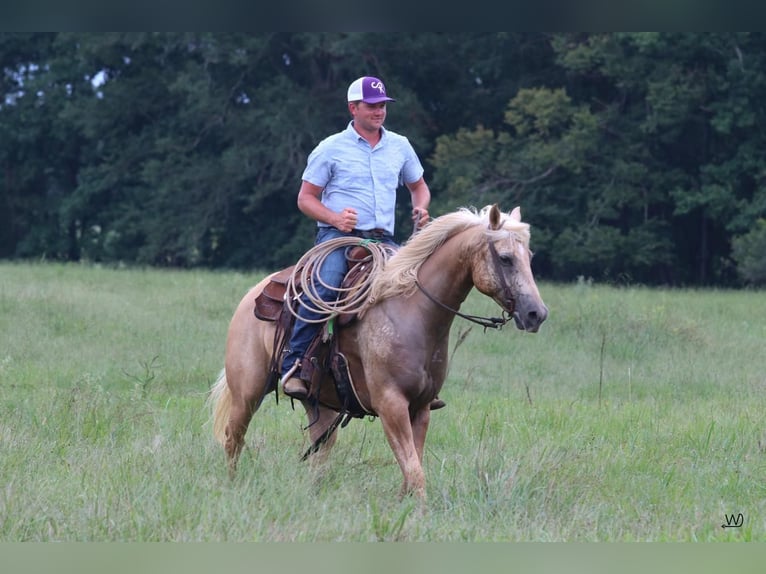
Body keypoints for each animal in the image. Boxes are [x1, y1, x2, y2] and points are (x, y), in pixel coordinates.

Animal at [208, 206, 544, 500]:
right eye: (505, 258)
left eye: (528, 257)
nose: (536, 314)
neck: (412, 312)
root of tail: (256, 291)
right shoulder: (390, 405)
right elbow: (414, 471)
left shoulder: (421, 407)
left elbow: (412, 468)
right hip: (248, 390)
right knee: (233, 438)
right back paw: (232, 487)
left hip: (319, 403)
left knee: (320, 450)